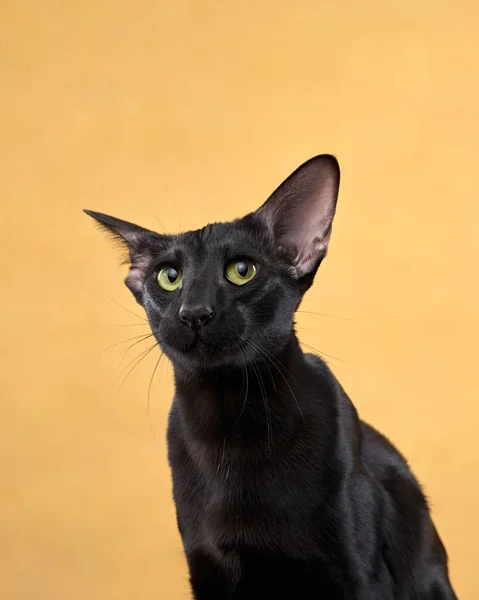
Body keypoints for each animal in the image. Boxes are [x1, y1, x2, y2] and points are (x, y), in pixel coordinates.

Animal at [85, 156, 458, 600]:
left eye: (242, 270)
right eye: (169, 277)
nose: (194, 312)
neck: (231, 422)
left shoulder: (359, 575)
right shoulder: (208, 569)